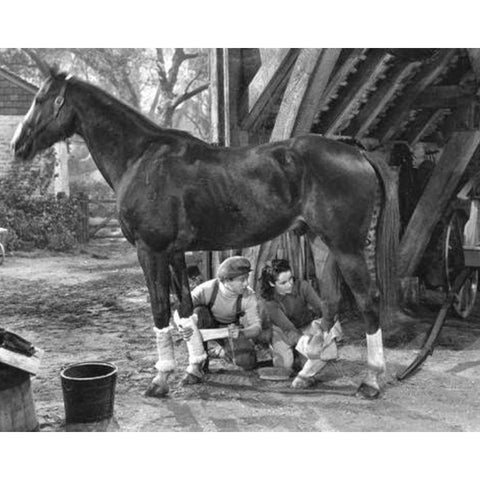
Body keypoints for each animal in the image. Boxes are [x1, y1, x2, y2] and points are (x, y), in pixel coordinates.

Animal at [12, 67, 398, 398]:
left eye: (41, 98)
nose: (18, 145)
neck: (141, 158)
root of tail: (357, 152)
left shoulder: (149, 250)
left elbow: (159, 310)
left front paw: (160, 379)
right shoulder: (174, 252)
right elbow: (184, 309)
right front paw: (195, 368)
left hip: (346, 247)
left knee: (368, 301)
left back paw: (371, 381)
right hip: (322, 243)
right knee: (331, 302)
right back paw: (306, 373)